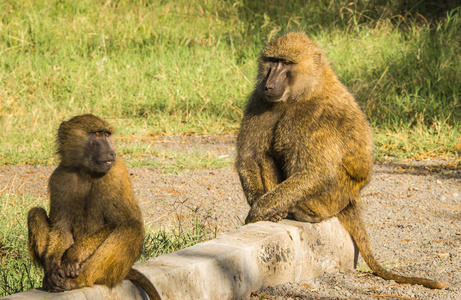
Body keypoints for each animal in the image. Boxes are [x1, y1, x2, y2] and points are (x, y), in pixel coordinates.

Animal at [27, 113, 162, 298]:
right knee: (35, 213)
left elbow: (118, 222)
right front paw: (53, 267)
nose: (111, 153)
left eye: (107, 135)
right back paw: (50, 277)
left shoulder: (115, 173)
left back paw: (79, 280)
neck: (85, 171)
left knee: (131, 227)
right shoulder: (59, 179)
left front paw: (74, 254)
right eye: (97, 134)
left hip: (114, 273)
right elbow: (61, 228)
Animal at [235, 31, 444, 290]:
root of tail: (353, 198)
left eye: (287, 63)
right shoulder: (259, 100)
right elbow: (249, 157)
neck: (302, 92)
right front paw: (260, 206)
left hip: (337, 194)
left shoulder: (313, 116)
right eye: (272, 61)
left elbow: (316, 172)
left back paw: (309, 213)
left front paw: (257, 211)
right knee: (265, 155)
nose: (269, 84)